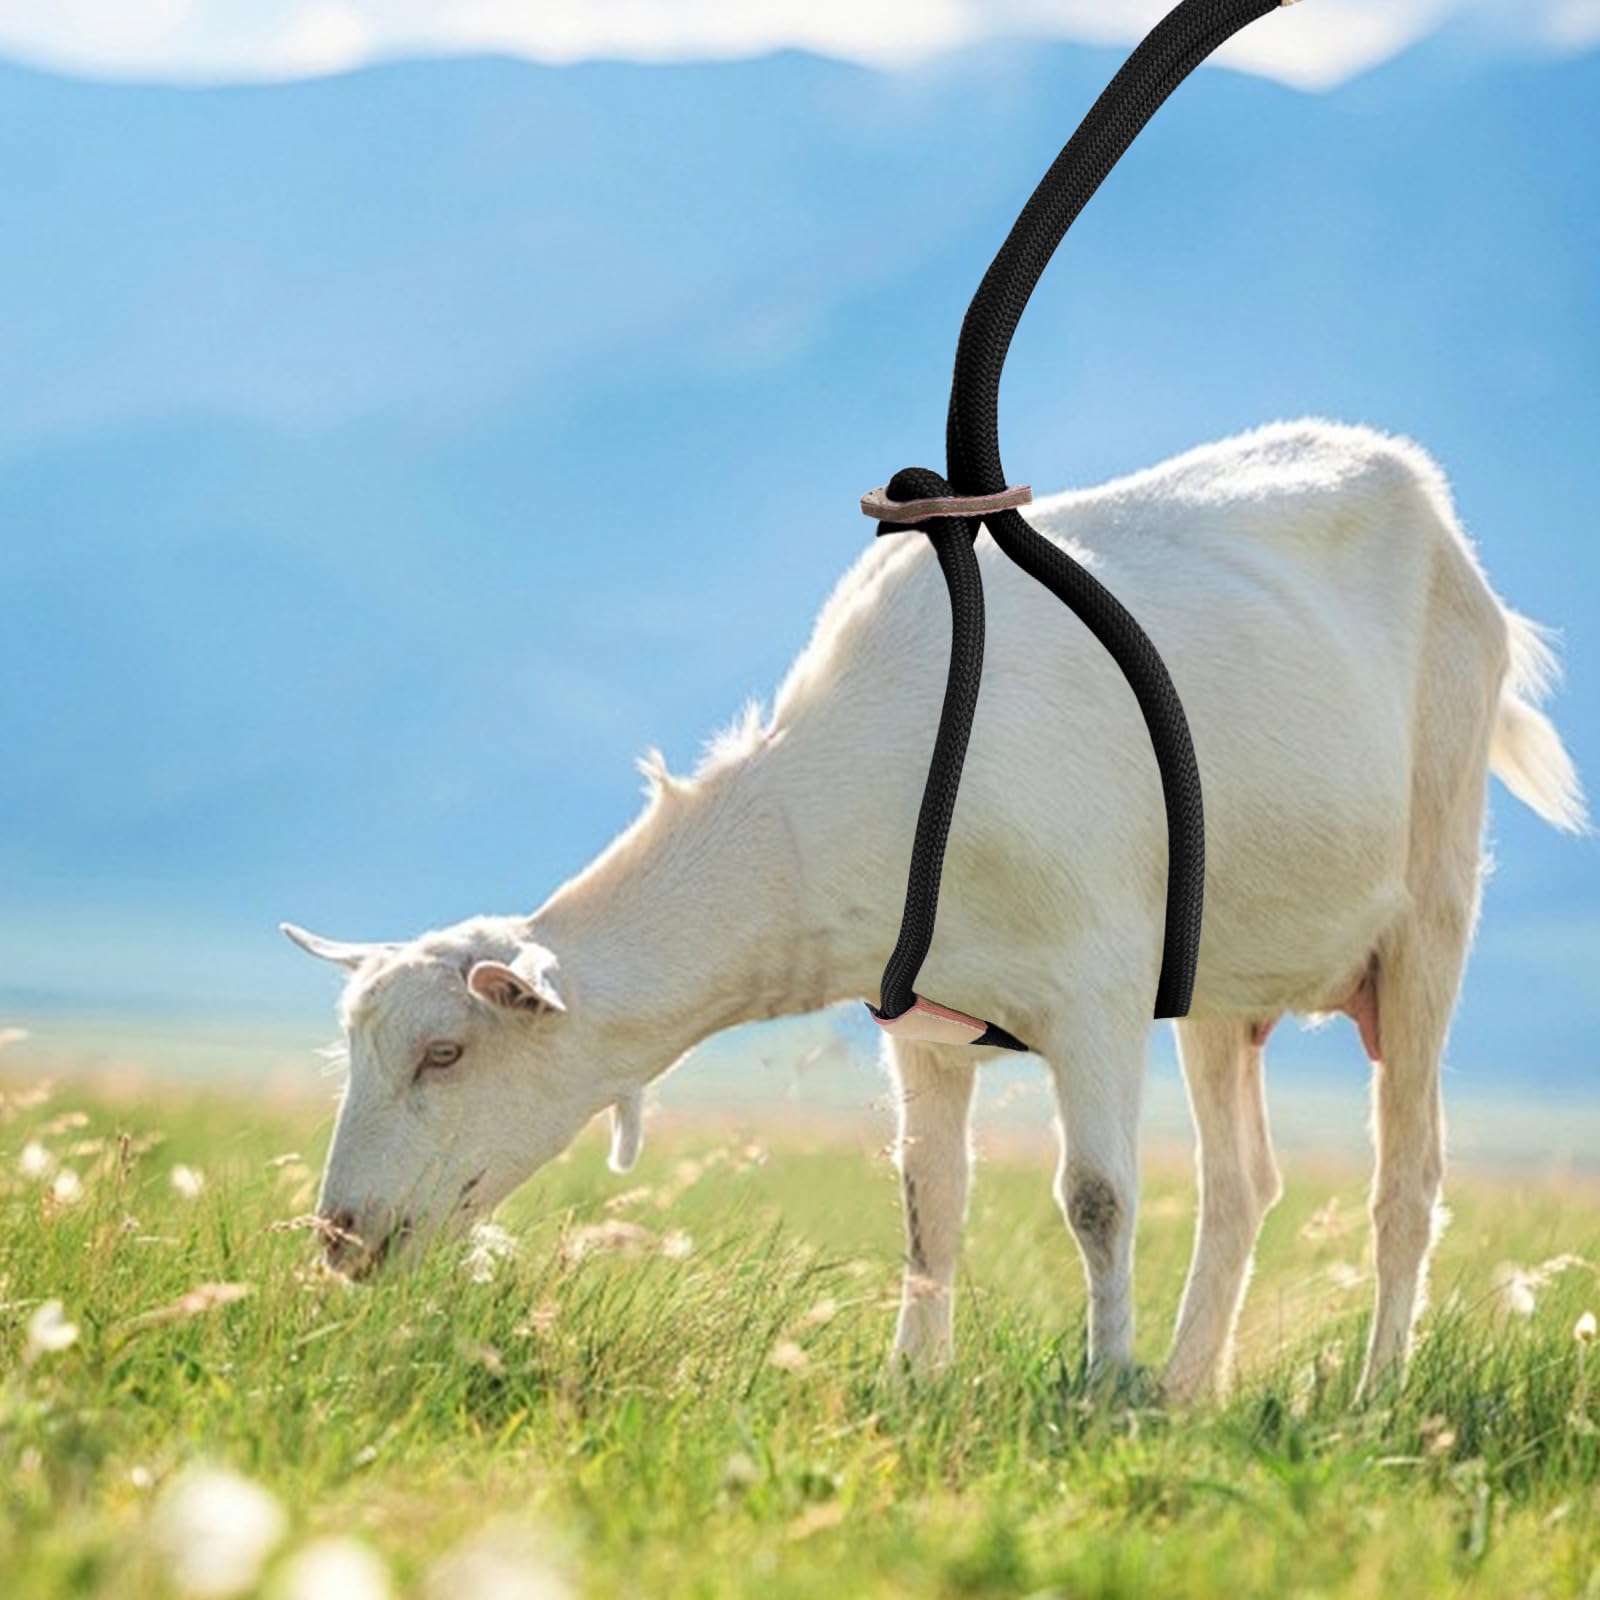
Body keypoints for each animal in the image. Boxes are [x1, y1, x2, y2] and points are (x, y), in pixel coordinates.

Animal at [285, 419, 1585, 1399]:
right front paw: (915, 1381)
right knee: (1242, 1182)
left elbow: (1097, 1198)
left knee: (1406, 1179)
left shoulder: (1097, 985)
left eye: (445, 1052)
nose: (341, 1236)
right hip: (1225, 967)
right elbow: (929, 1202)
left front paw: (1098, 1390)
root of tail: (1426, 503)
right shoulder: (921, 1016)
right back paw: (1187, 1389)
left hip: (1431, 897)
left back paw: (1369, 1395)